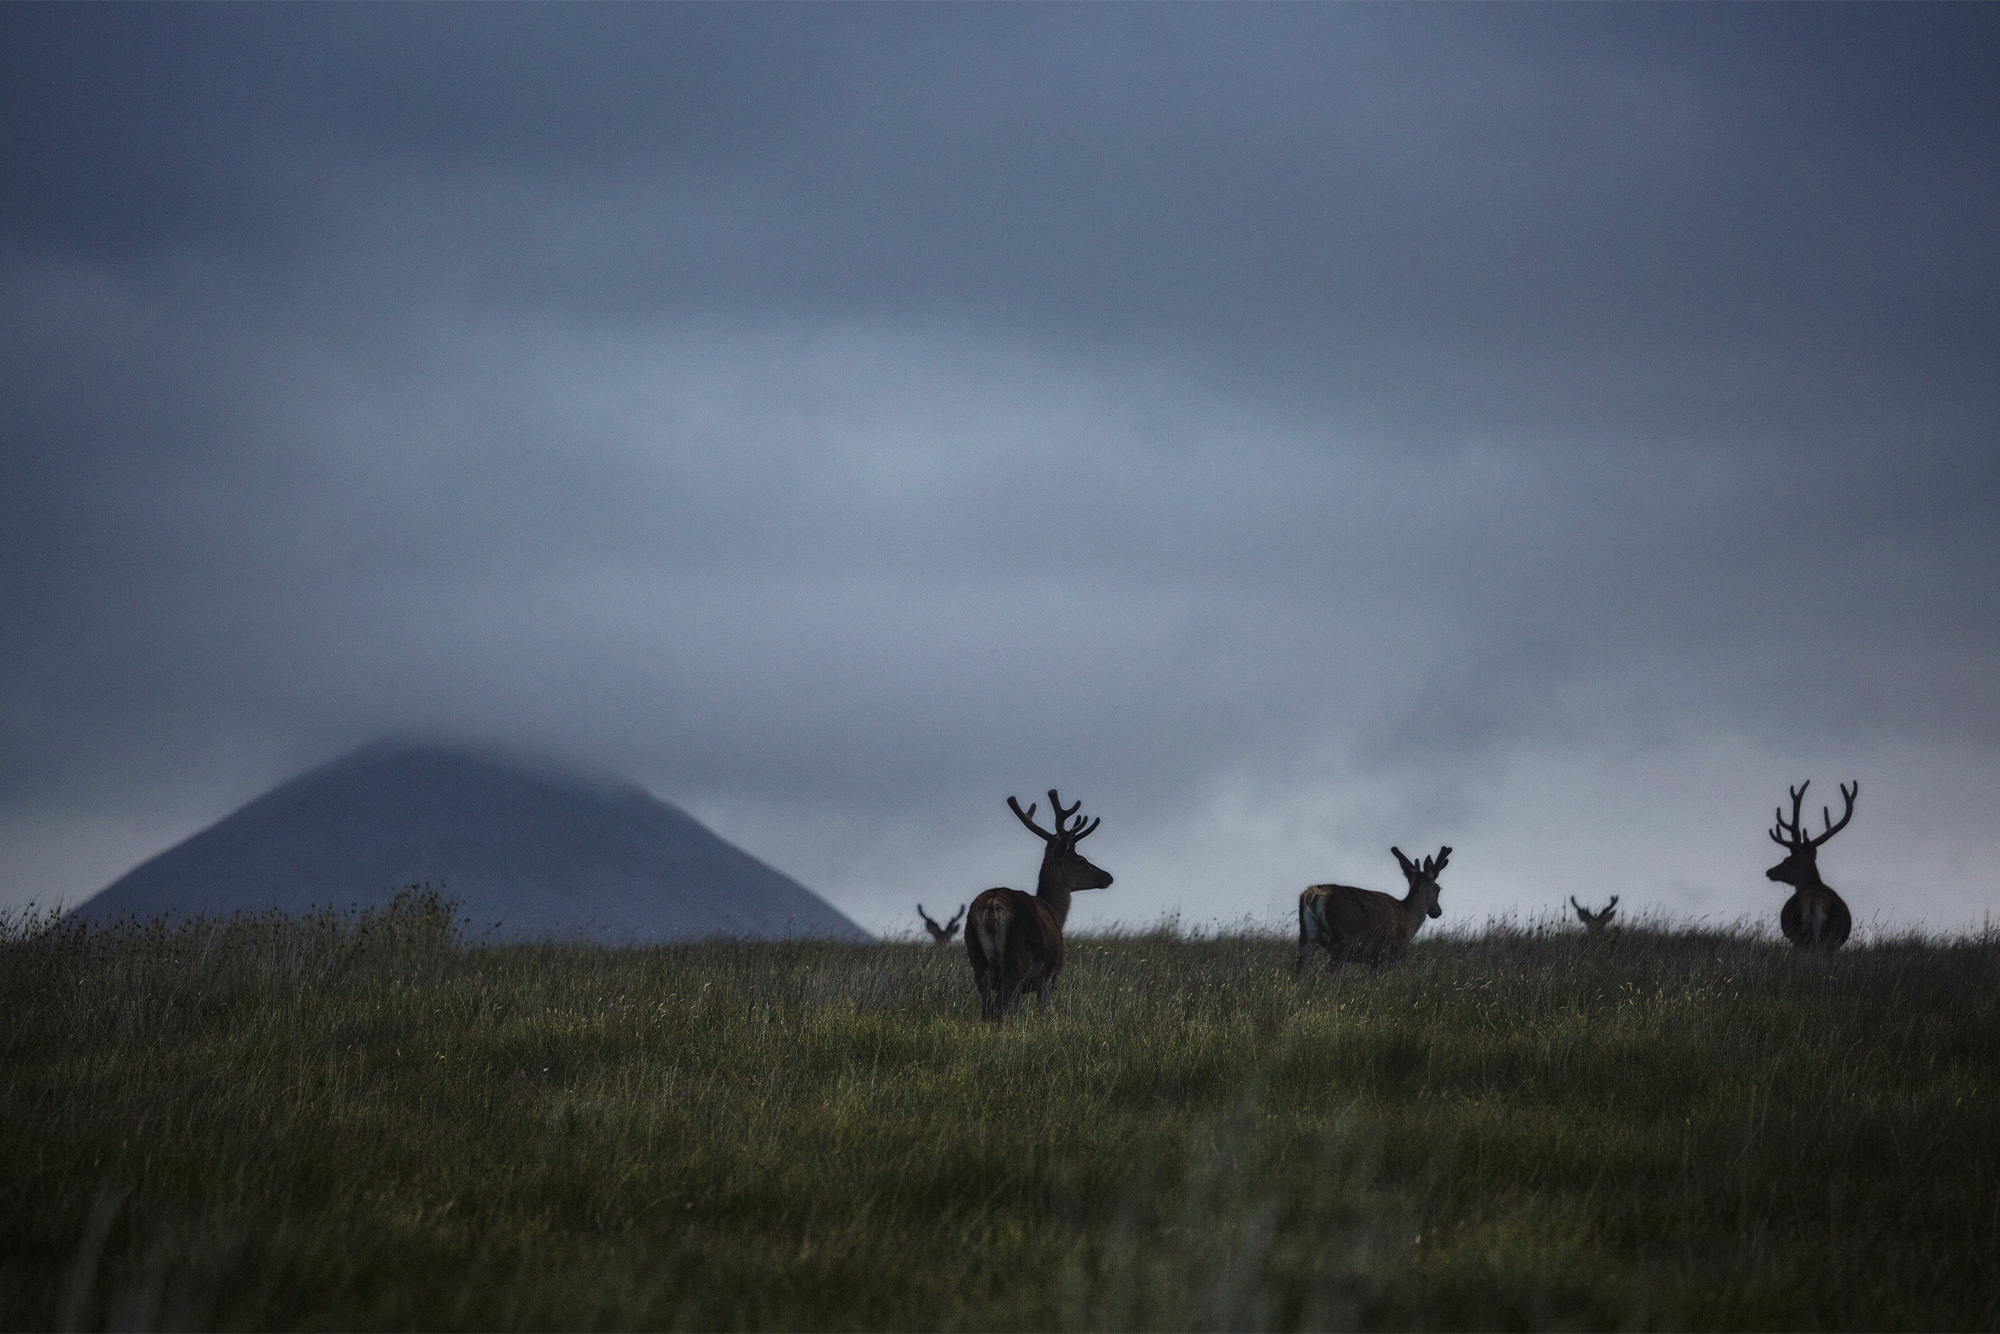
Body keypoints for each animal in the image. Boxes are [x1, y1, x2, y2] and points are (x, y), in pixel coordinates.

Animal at [964, 792, 1120, 1024]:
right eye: (1081, 860)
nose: (1108, 876)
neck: (1056, 912)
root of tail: (992, 907)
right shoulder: (1050, 975)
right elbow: (1043, 1010)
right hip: (1018, 959)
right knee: (1001, 1009)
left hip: (977, 959)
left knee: (986, 1008)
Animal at [1296, 852, 1456, 976]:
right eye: (1438, 889)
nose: (1438, 911)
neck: (1409, 917)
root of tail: (1312, 895)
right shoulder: (1390, 955)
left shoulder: (1374, 960)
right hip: (1343, 941)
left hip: (1307, 936)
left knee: (1300, 967)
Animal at [1768, 776, 1856, 956]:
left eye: (1786, 860)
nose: (1770, 872)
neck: (1812, 883)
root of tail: (1814, 902)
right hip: (1825, 937)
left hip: (1802, 934)